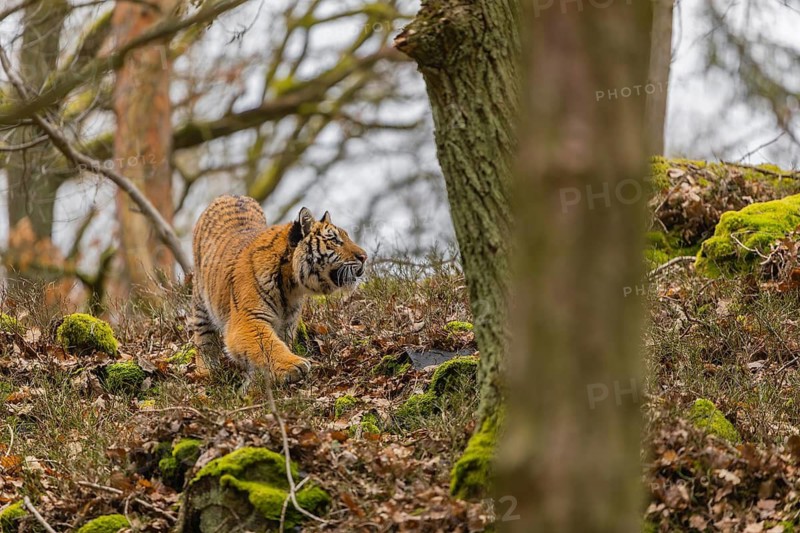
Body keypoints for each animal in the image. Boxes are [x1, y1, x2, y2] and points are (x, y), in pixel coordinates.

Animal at [191, 195, 367, 385]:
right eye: (334, 240)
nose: (364, 257)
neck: (292, 287)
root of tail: (229, 195)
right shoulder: (248, 318)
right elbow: (268, 345)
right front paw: (293, 366)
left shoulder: (287, 323)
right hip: (200, 303)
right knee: (203, 339)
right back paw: (206, 371)